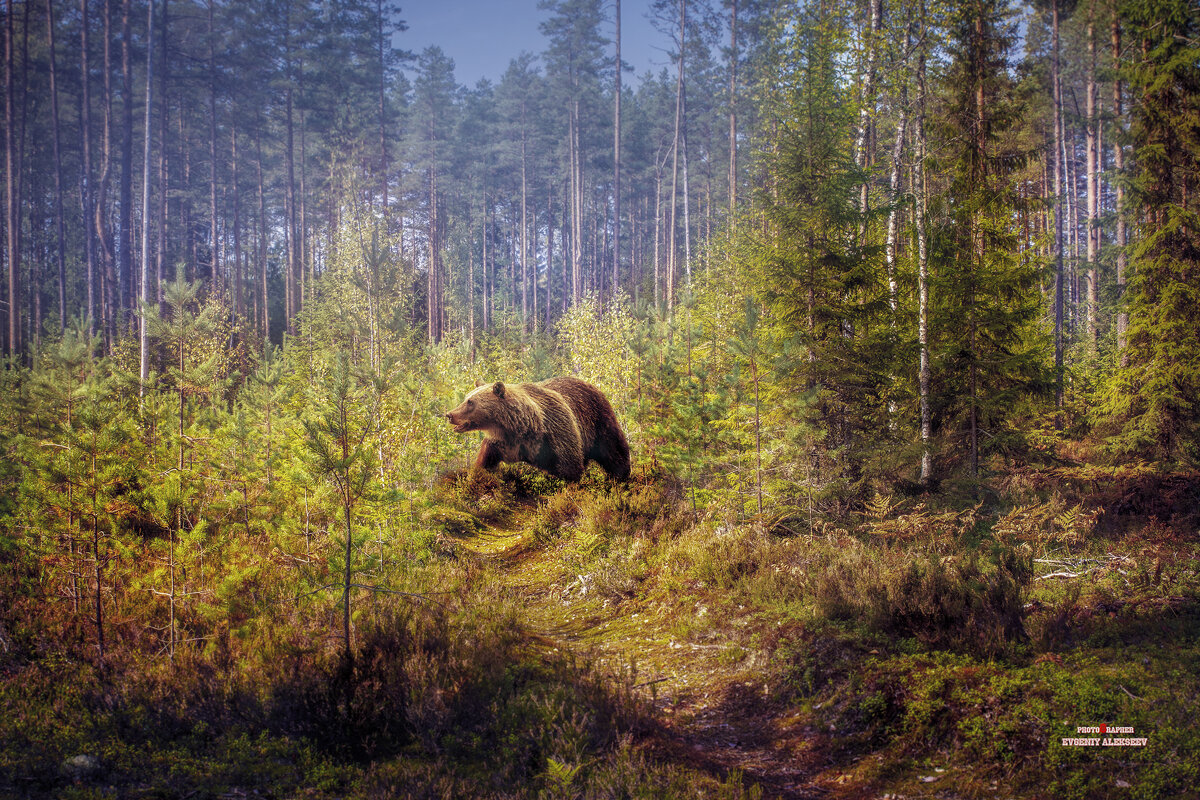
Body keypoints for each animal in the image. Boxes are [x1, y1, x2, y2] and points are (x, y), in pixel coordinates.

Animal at [448, 376, 633, 482]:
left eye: (470, 402)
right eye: (466, 398)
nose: (449, 414)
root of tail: (593, 386)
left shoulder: (557, 432)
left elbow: (570, 467)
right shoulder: (499, 443)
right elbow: (484, 463)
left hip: (599, 422)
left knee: (614, 451)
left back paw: (621, 477)